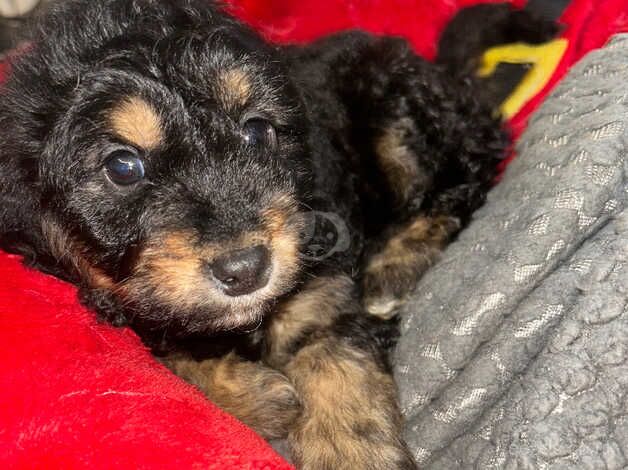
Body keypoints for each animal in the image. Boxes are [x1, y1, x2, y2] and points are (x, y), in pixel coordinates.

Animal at [0, 1, 548, 468]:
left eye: (258, 131)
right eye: (122, 166)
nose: (246, 269)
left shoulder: (322, 287)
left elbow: (338, 368)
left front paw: (353, 450)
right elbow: (171, 354)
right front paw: (262, 397)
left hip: (399, 109)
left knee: (462, 182)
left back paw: (395, 269)